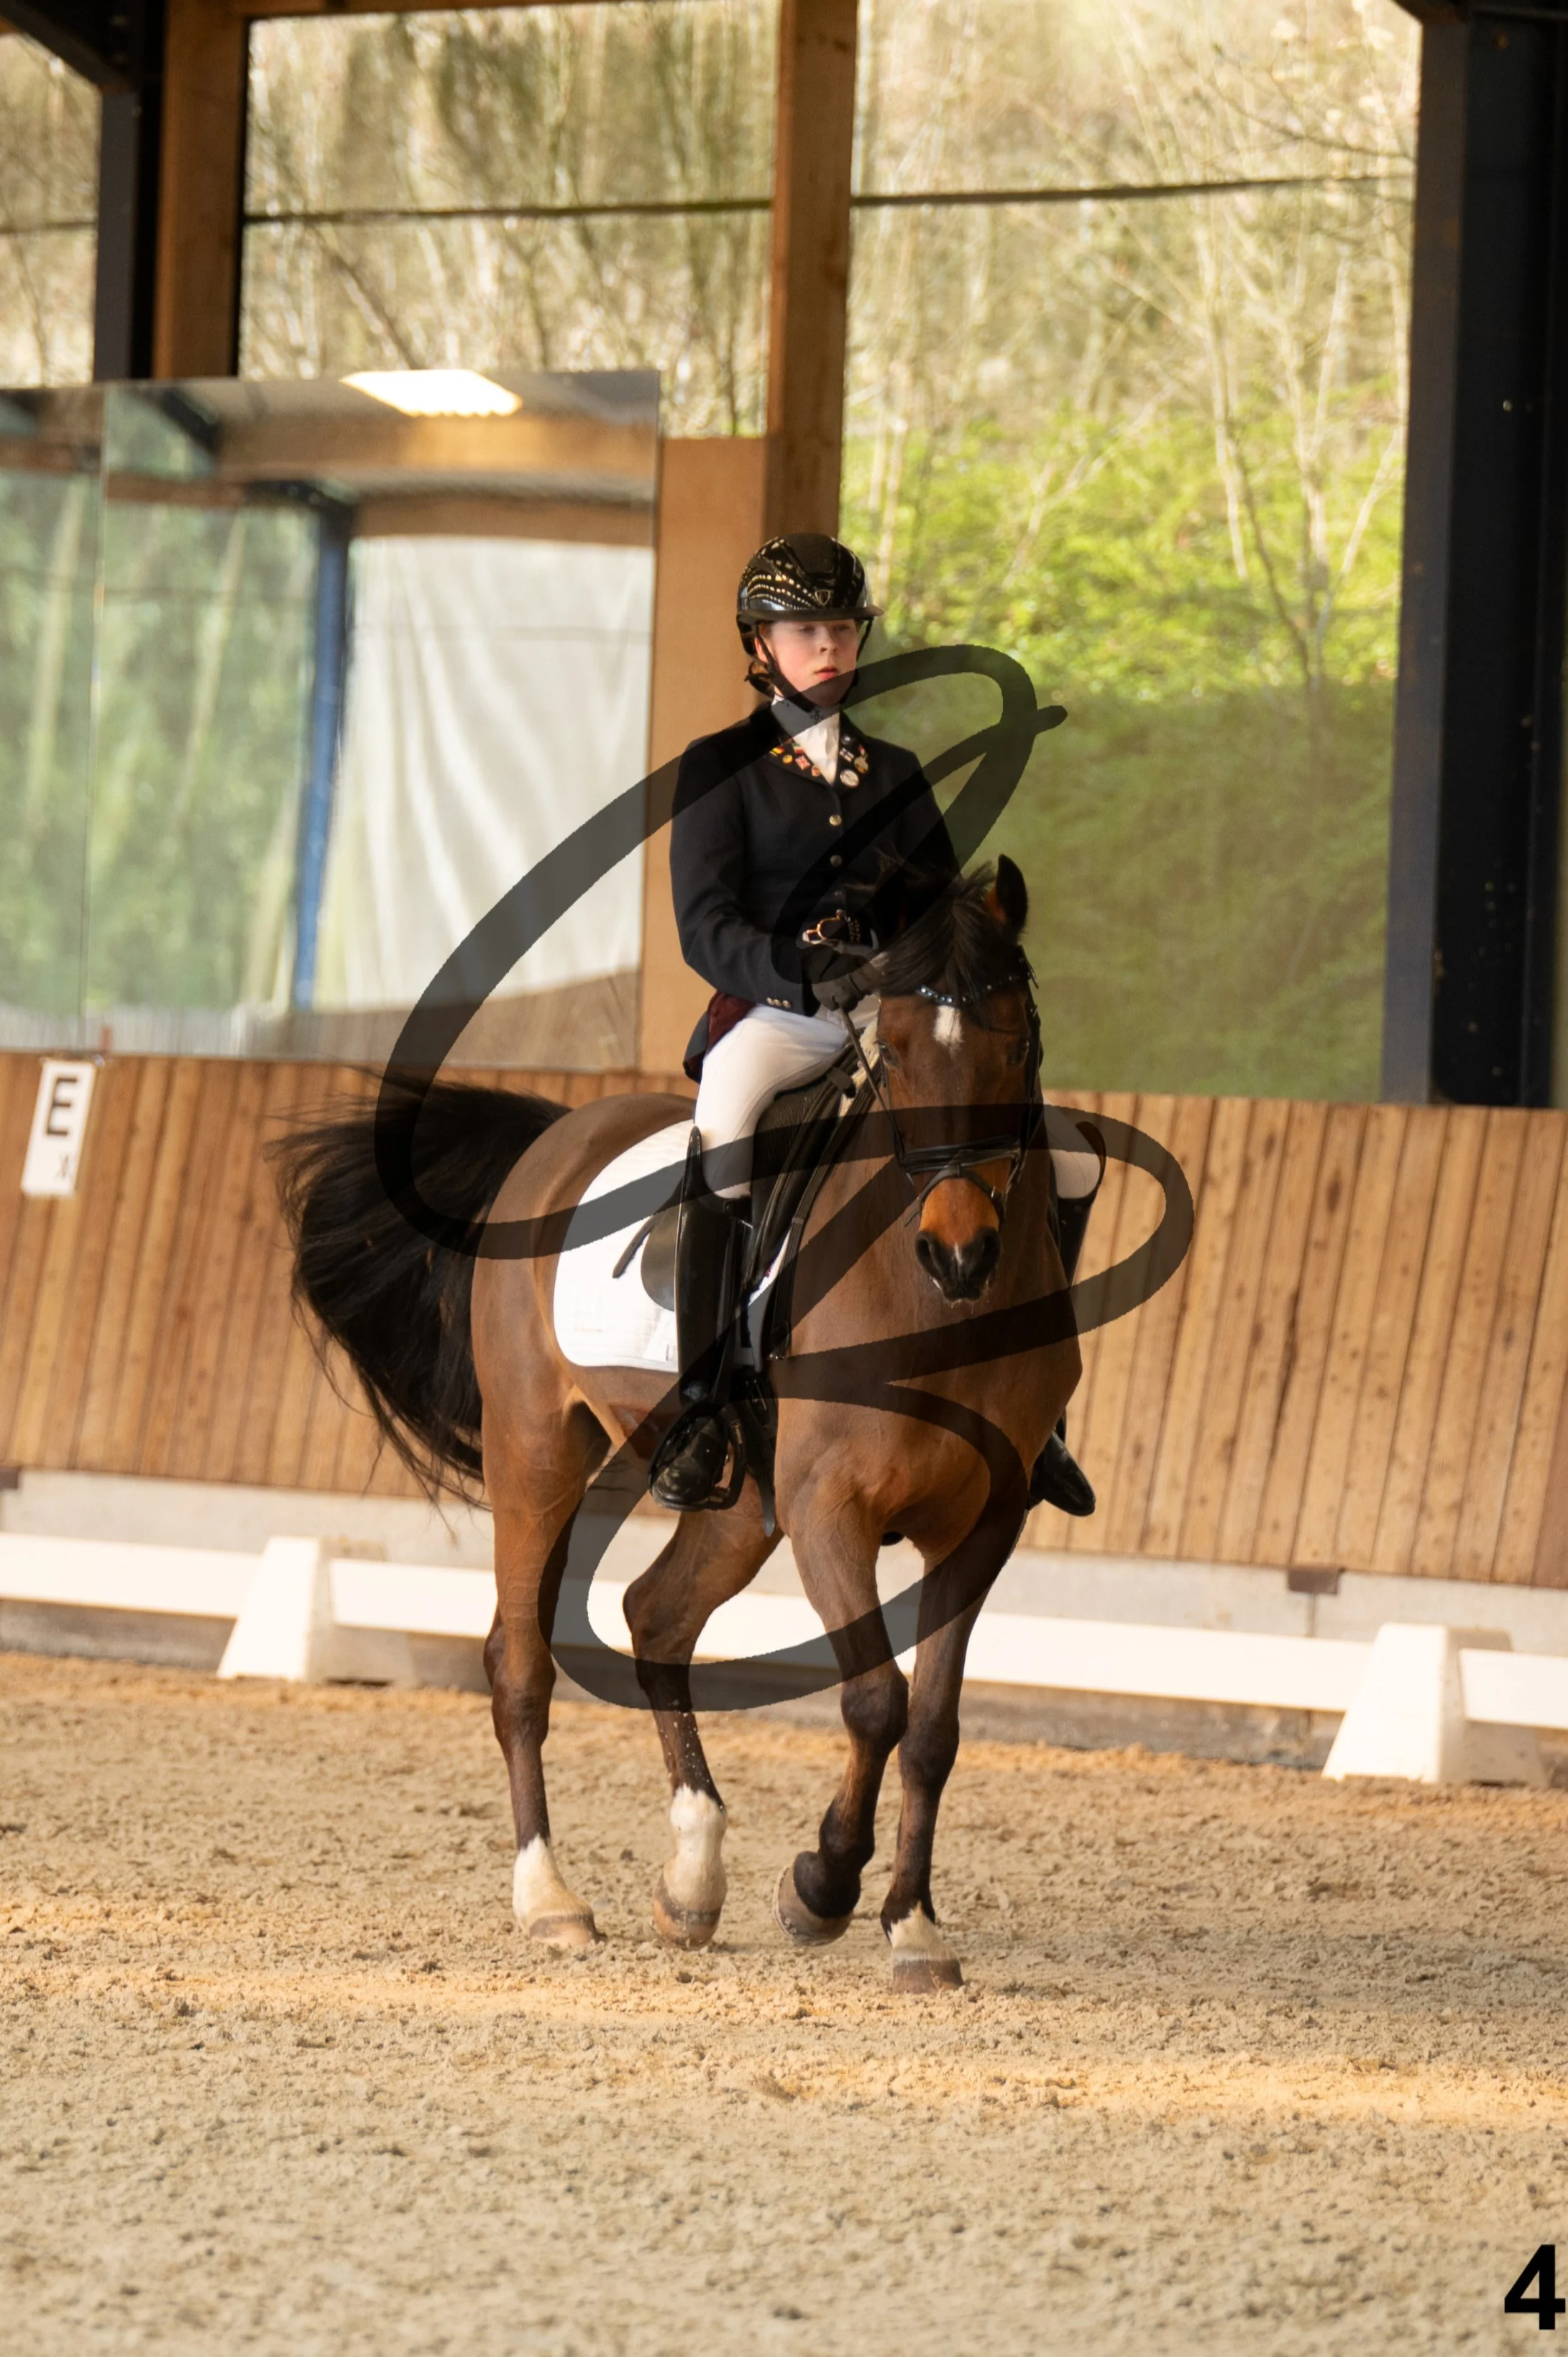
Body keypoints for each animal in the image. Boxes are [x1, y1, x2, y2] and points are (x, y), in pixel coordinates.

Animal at [276, 857, 1080, 1992]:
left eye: (1016, 1041)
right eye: (897, 1052)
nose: (959, 1252)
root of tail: (562, 1132)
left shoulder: (983, 1521)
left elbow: (932, 1726)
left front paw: (913, 1925)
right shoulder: (829, 1506)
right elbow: (875, 1702)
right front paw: (821, 1885)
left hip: (739, 1502)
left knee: (656, 1615)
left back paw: (693, 1878)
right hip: (539, 1451)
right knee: (518, 1661)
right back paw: (551, 1898)